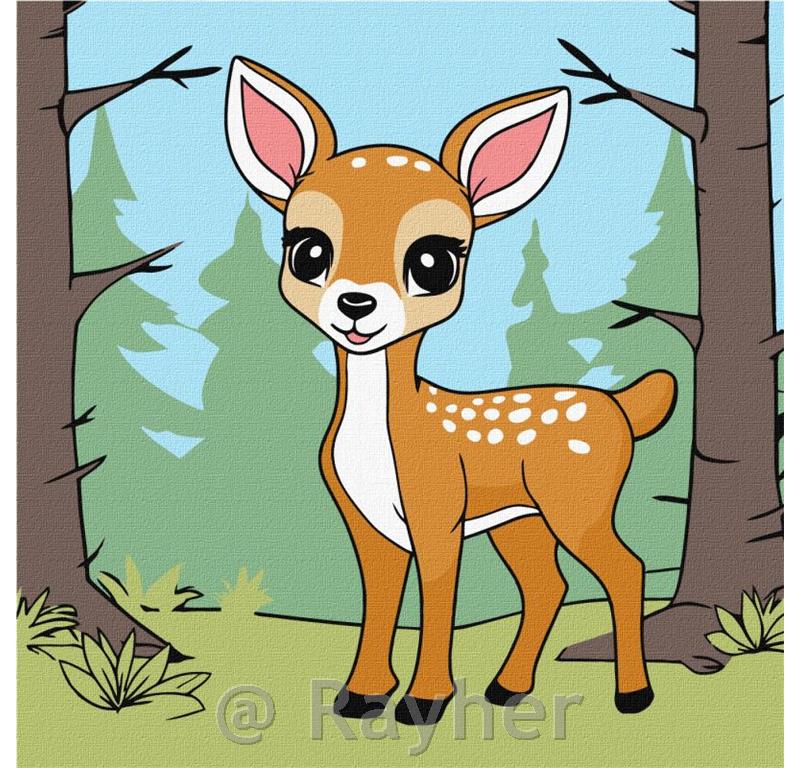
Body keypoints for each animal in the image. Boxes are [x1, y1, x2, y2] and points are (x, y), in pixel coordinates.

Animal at [225, 57, 676, 726]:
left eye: (435, 261)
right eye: (307, 249)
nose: (356, 303)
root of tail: (620, 406)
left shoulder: (438, 509)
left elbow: (438, 597)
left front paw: (423, 702)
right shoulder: (366, 522)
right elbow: (380, 602)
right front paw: (360, 696)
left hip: (580, 501)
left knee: (625, 569)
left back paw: (633, 695)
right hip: (520, 518)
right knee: (549, 584)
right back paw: (506, 688)